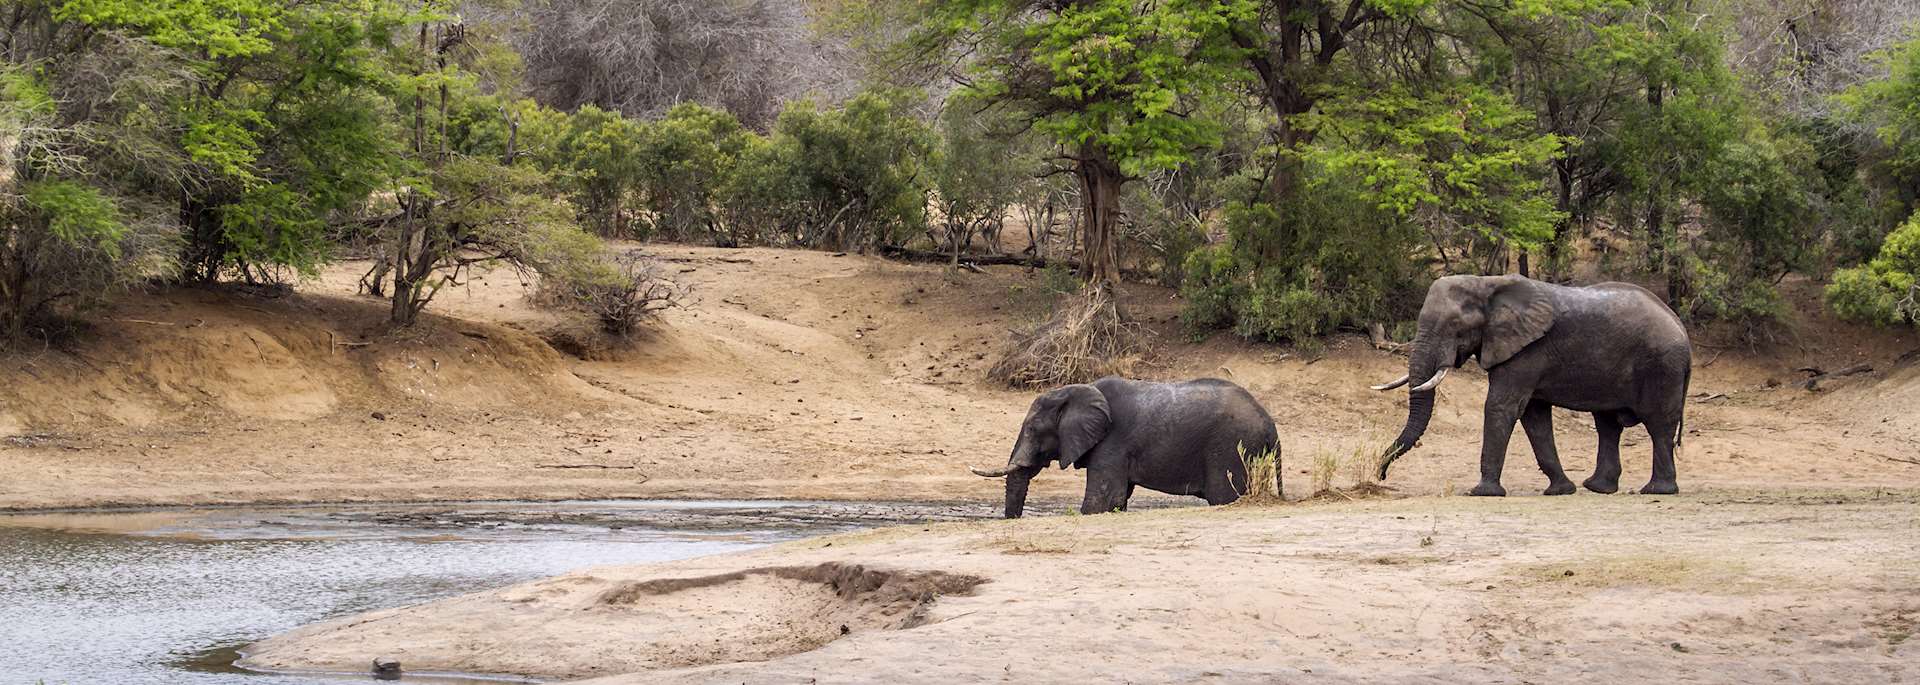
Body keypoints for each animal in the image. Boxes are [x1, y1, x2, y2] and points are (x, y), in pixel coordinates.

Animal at [969, 376, 1280, 518]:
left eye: (1033, 429)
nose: (1013, 520)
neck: (1078, 390)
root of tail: (1270, 423)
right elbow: (1117, 501)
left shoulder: (1113, 444)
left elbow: (1101, 502)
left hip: (1230, 447)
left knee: (1223, 497)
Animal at [1371, 274, 1691, 496]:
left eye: (1454, 326)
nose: (1380, 475)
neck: (1486, 283)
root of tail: (1681, 328)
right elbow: (1534, 417)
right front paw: (1560, 491)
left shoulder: (1526, 351)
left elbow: (1501, 407)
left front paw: (1482, 493)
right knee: (1608, 424)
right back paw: (1598, 487)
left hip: (1662, 366)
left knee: (1658, 425)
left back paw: (1657, 490)